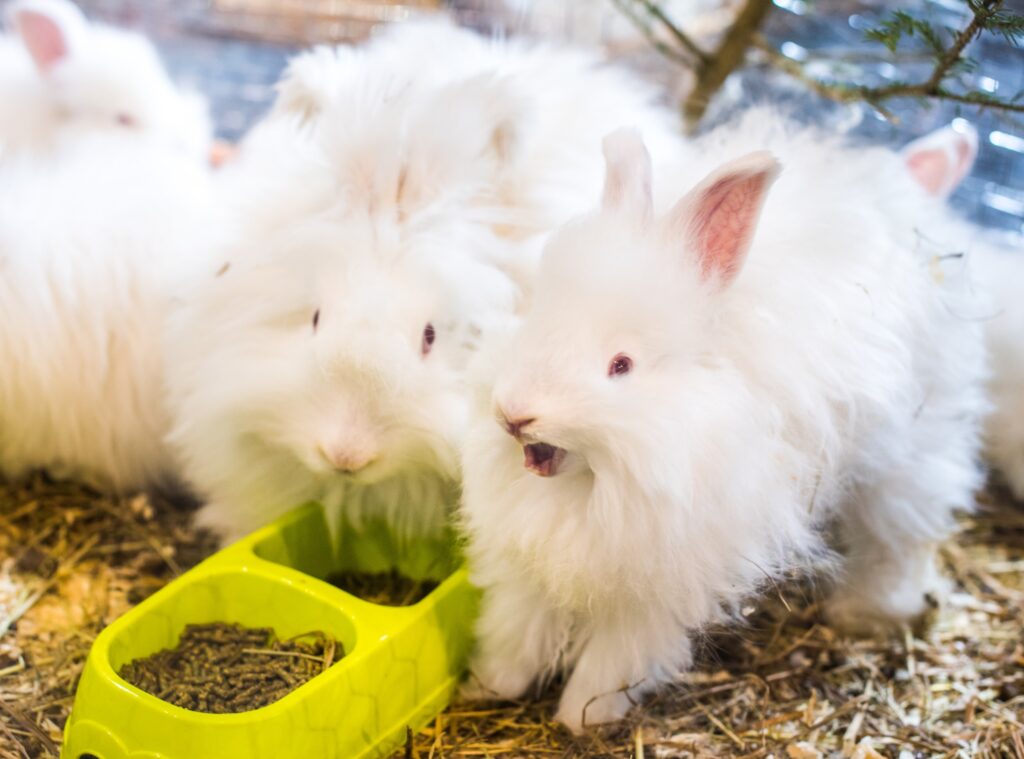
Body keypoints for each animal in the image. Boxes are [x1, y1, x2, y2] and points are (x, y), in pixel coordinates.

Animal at [458, 114, 988, 732]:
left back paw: (870, 613)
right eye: (535, 319)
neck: (592, 485)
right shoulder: (527, 573)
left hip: (911, 457)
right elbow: (516, 633)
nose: (514, 413)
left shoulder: (657, 593)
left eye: (621, 365)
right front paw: (488, 686)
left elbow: (614, 658)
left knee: (898, 539)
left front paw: (581, 719)